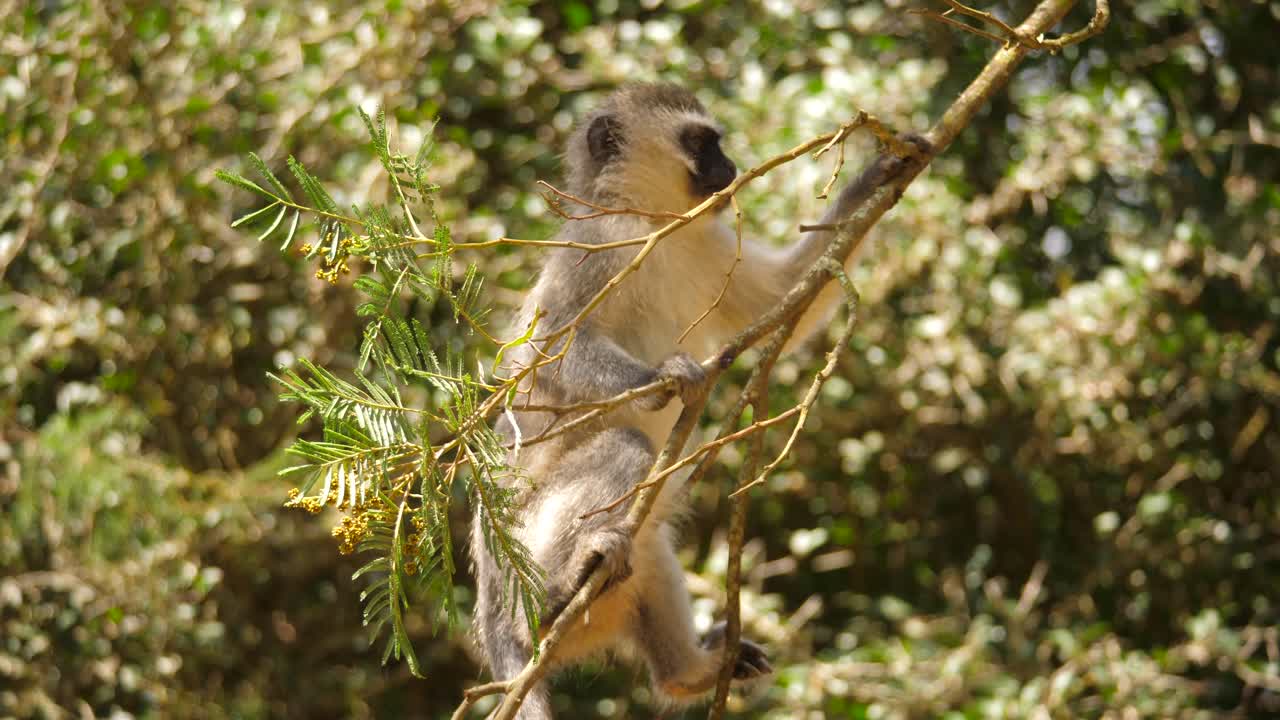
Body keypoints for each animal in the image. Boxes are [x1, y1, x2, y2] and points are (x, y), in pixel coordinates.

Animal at [471, 83, 923, 718]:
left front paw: (883, 171)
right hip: (518, 555)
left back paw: (688, 672)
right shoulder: (595, 247)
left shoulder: (706, 243)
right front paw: (667, 377)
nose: (730, 167)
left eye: (717, 143)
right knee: (626, 447)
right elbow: (554, 347)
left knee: (649, 545)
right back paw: (554, 599)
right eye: (700, 143)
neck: (654, 225)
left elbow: (782, 295)